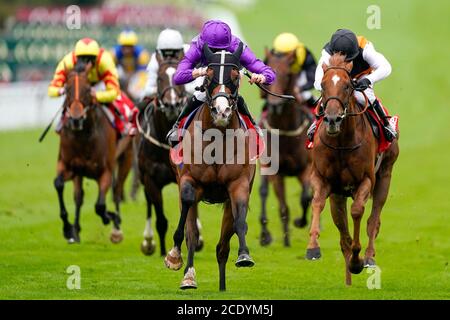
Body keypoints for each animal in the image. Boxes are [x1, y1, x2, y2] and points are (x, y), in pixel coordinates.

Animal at [54, 61, 132, 244]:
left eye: (88, 89)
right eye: (66, 89)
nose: (76, 119)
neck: (83, 136)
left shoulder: (105, 171)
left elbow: (100, 206)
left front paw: (112, 218)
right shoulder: (67, 165)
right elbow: (59, 184)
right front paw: (68, 229)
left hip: (126, 157)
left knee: (117, 190)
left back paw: (116, 226)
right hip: (79, 172)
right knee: (78, 197)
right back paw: (76, 231)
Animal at [137, 55, 204, 255]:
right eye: (159, 78)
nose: (172, 104)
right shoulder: (150, 178)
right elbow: (161, 219)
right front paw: (161, 251)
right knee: (148, 202)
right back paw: (148, 241)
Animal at [164, 43, 256, 292]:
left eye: (235, 76)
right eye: (209, 75)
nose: (222, 111)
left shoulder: (238, 185)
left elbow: (240, 221)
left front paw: (244, 255)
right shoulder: (188, 181)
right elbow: (188, 227)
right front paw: (174, 257)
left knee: (222, 246)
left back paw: (222, 286)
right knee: (192, 232)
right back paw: (188, 276)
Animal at [256, 48, 312, 248]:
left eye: (288, 75)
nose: (274, 106)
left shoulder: (306, 168)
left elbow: (306, 197)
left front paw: (300, 222)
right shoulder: (275, 173)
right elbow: (282, 207)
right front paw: (286, 239)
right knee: (263, 193)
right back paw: (266, 235)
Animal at [308, 53, 400, 284]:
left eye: (348, 86)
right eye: (323, 85)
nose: (332, 119)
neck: (342, 142)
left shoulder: (366, 180)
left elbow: (358, 212)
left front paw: (358, 260)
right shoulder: (323, 179)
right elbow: (317, 203)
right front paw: (313, 248)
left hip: (385, 175)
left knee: (373, 220)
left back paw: (367, 258)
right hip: (338, 196)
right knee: (343, 233)